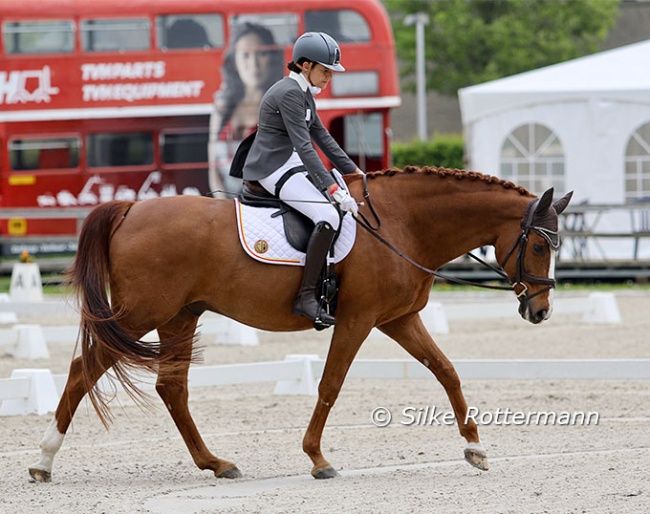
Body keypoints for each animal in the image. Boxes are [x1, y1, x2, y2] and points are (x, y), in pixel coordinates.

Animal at [27, 167, 568, 480]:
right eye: (541, 246)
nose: (541, 311)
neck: (402, 224)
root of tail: (131, 208)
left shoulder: (399, 319)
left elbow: (447, 371)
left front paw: (475, 447)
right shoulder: (358, 320)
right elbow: (331, 383)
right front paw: (317, 458)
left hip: (181, 315)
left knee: (171, 388)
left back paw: (216, 463)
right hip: (142, 313)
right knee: (83, 370)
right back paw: (42, 461)